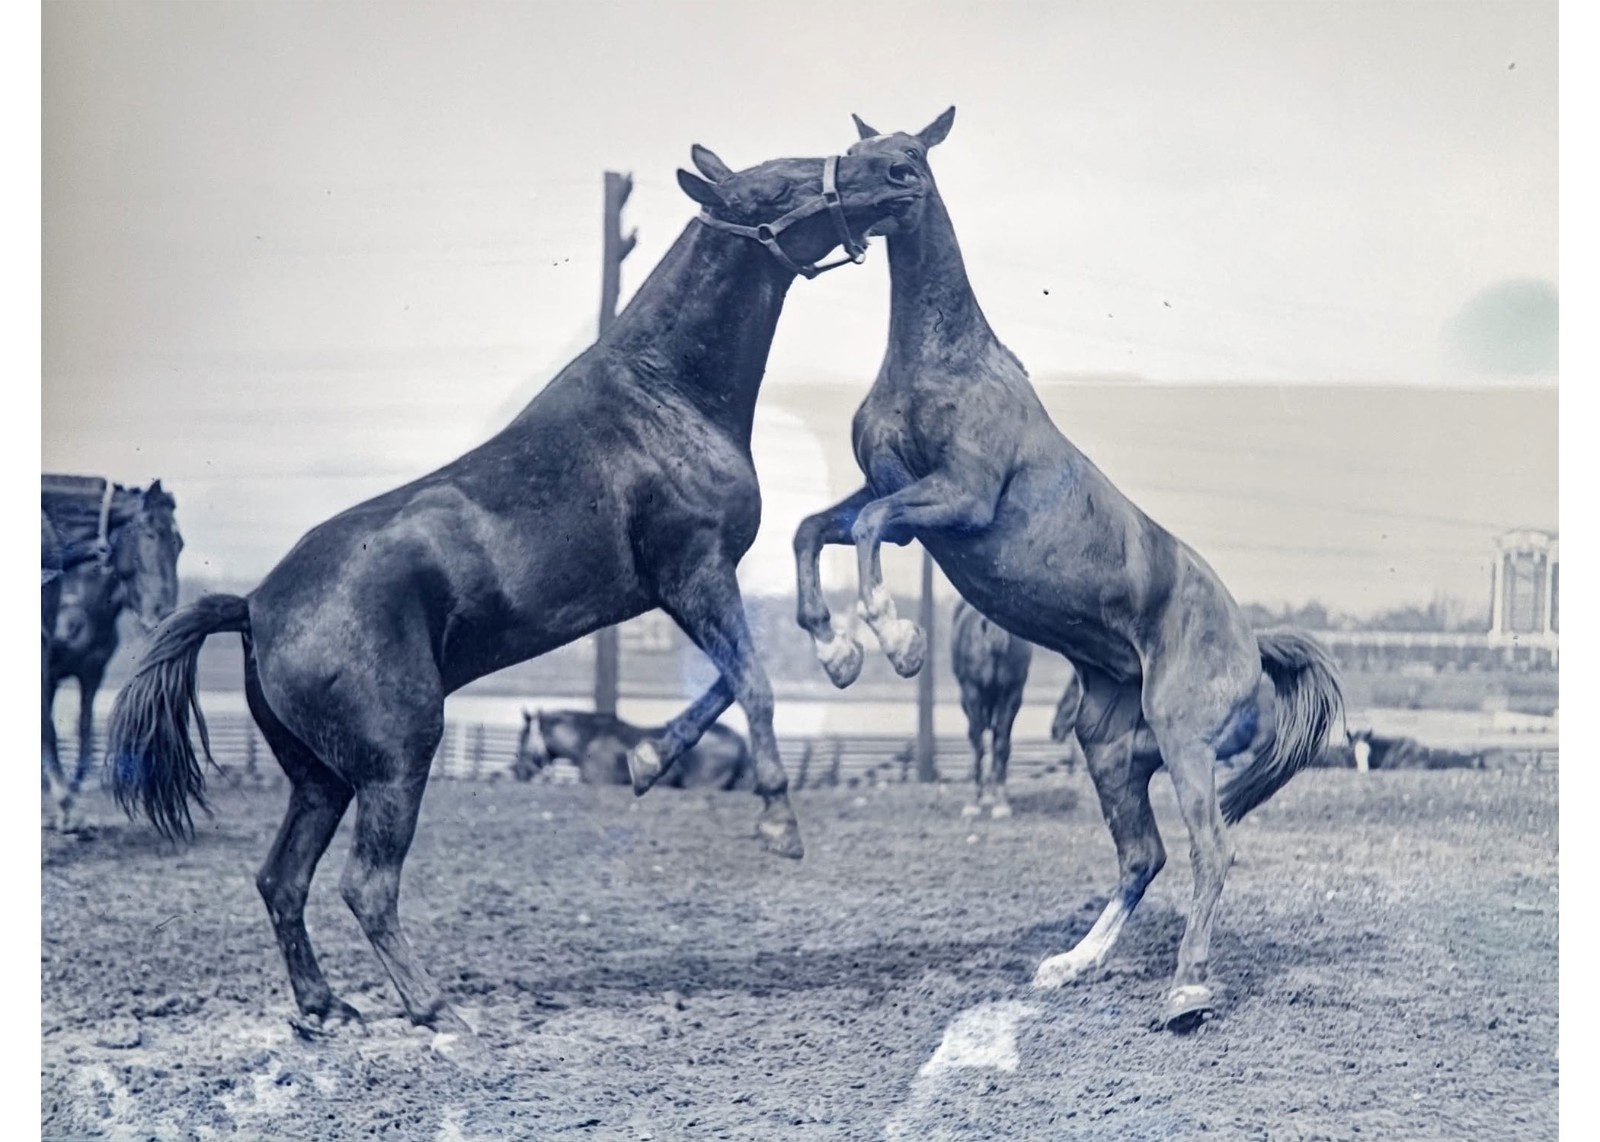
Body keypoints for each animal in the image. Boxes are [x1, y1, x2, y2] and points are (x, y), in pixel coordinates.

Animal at [41, 478, 182, 829]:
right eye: (150, 533)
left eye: (180, 543)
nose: (163, 615)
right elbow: (47, 726)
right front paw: (64, 804)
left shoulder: (91, 671)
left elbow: (84, 727)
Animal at [950, 598, 1031, 818]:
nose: (998, 639)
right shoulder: (972, 692)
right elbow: (978, 744)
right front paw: (973, 802)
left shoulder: (1011, 693)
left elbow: (1001, 744)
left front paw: (1001, 803)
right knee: (975, 737)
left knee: (996, 738)